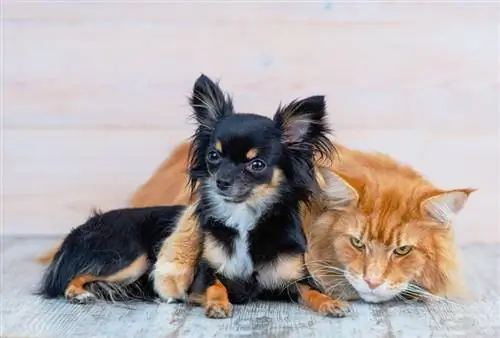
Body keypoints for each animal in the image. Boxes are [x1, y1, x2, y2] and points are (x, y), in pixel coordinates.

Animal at [38, 140, 472, 304]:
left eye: (403, 250)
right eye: (357, 243)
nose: (373, 281)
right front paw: (176, 276)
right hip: (129, 256)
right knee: (69, 280)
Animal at [39, 73, 346, 316]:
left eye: (256, 164)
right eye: (213, 156)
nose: (221, 181)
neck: (244, 218)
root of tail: (81, 229)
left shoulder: (293, 280)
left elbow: (312, 291)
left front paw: (331, 302)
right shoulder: (203, 276)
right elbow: (216, 286)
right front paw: (218, 304)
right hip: (132, 257)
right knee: (69, 277)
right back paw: (78, 292)